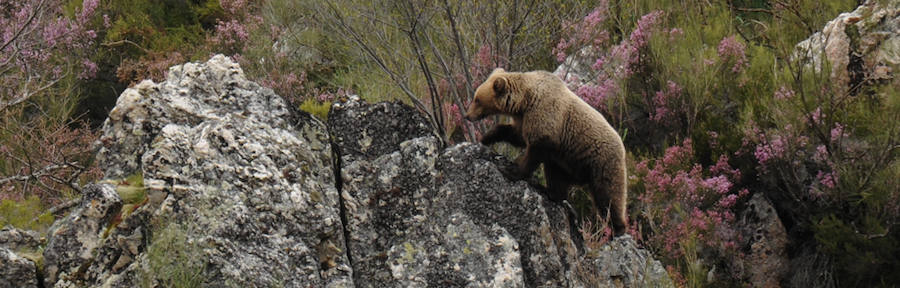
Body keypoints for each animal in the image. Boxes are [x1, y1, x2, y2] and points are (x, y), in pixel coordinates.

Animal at [468, 67, 628, 234]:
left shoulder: (546, 118)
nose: (467, 115)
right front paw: (487, 137)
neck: (525, 101)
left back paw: (618, 229)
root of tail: (622, 146)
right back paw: (550, 192)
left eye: (477, 99)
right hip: (567, 164)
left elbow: (535, 150)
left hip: (601, 162)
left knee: (609, 196)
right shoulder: (524, 120)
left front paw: (511, 171)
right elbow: (517, 136)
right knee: (556, 175)